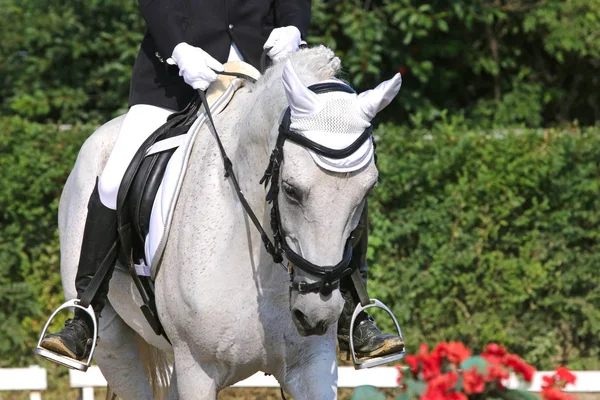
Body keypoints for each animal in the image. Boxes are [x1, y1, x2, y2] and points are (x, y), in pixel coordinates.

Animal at [57, 45, 404, 398]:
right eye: (291, 190)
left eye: (367, 191)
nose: (316, 316)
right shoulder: (196, 369)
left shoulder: (312, 366)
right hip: (115, 346)